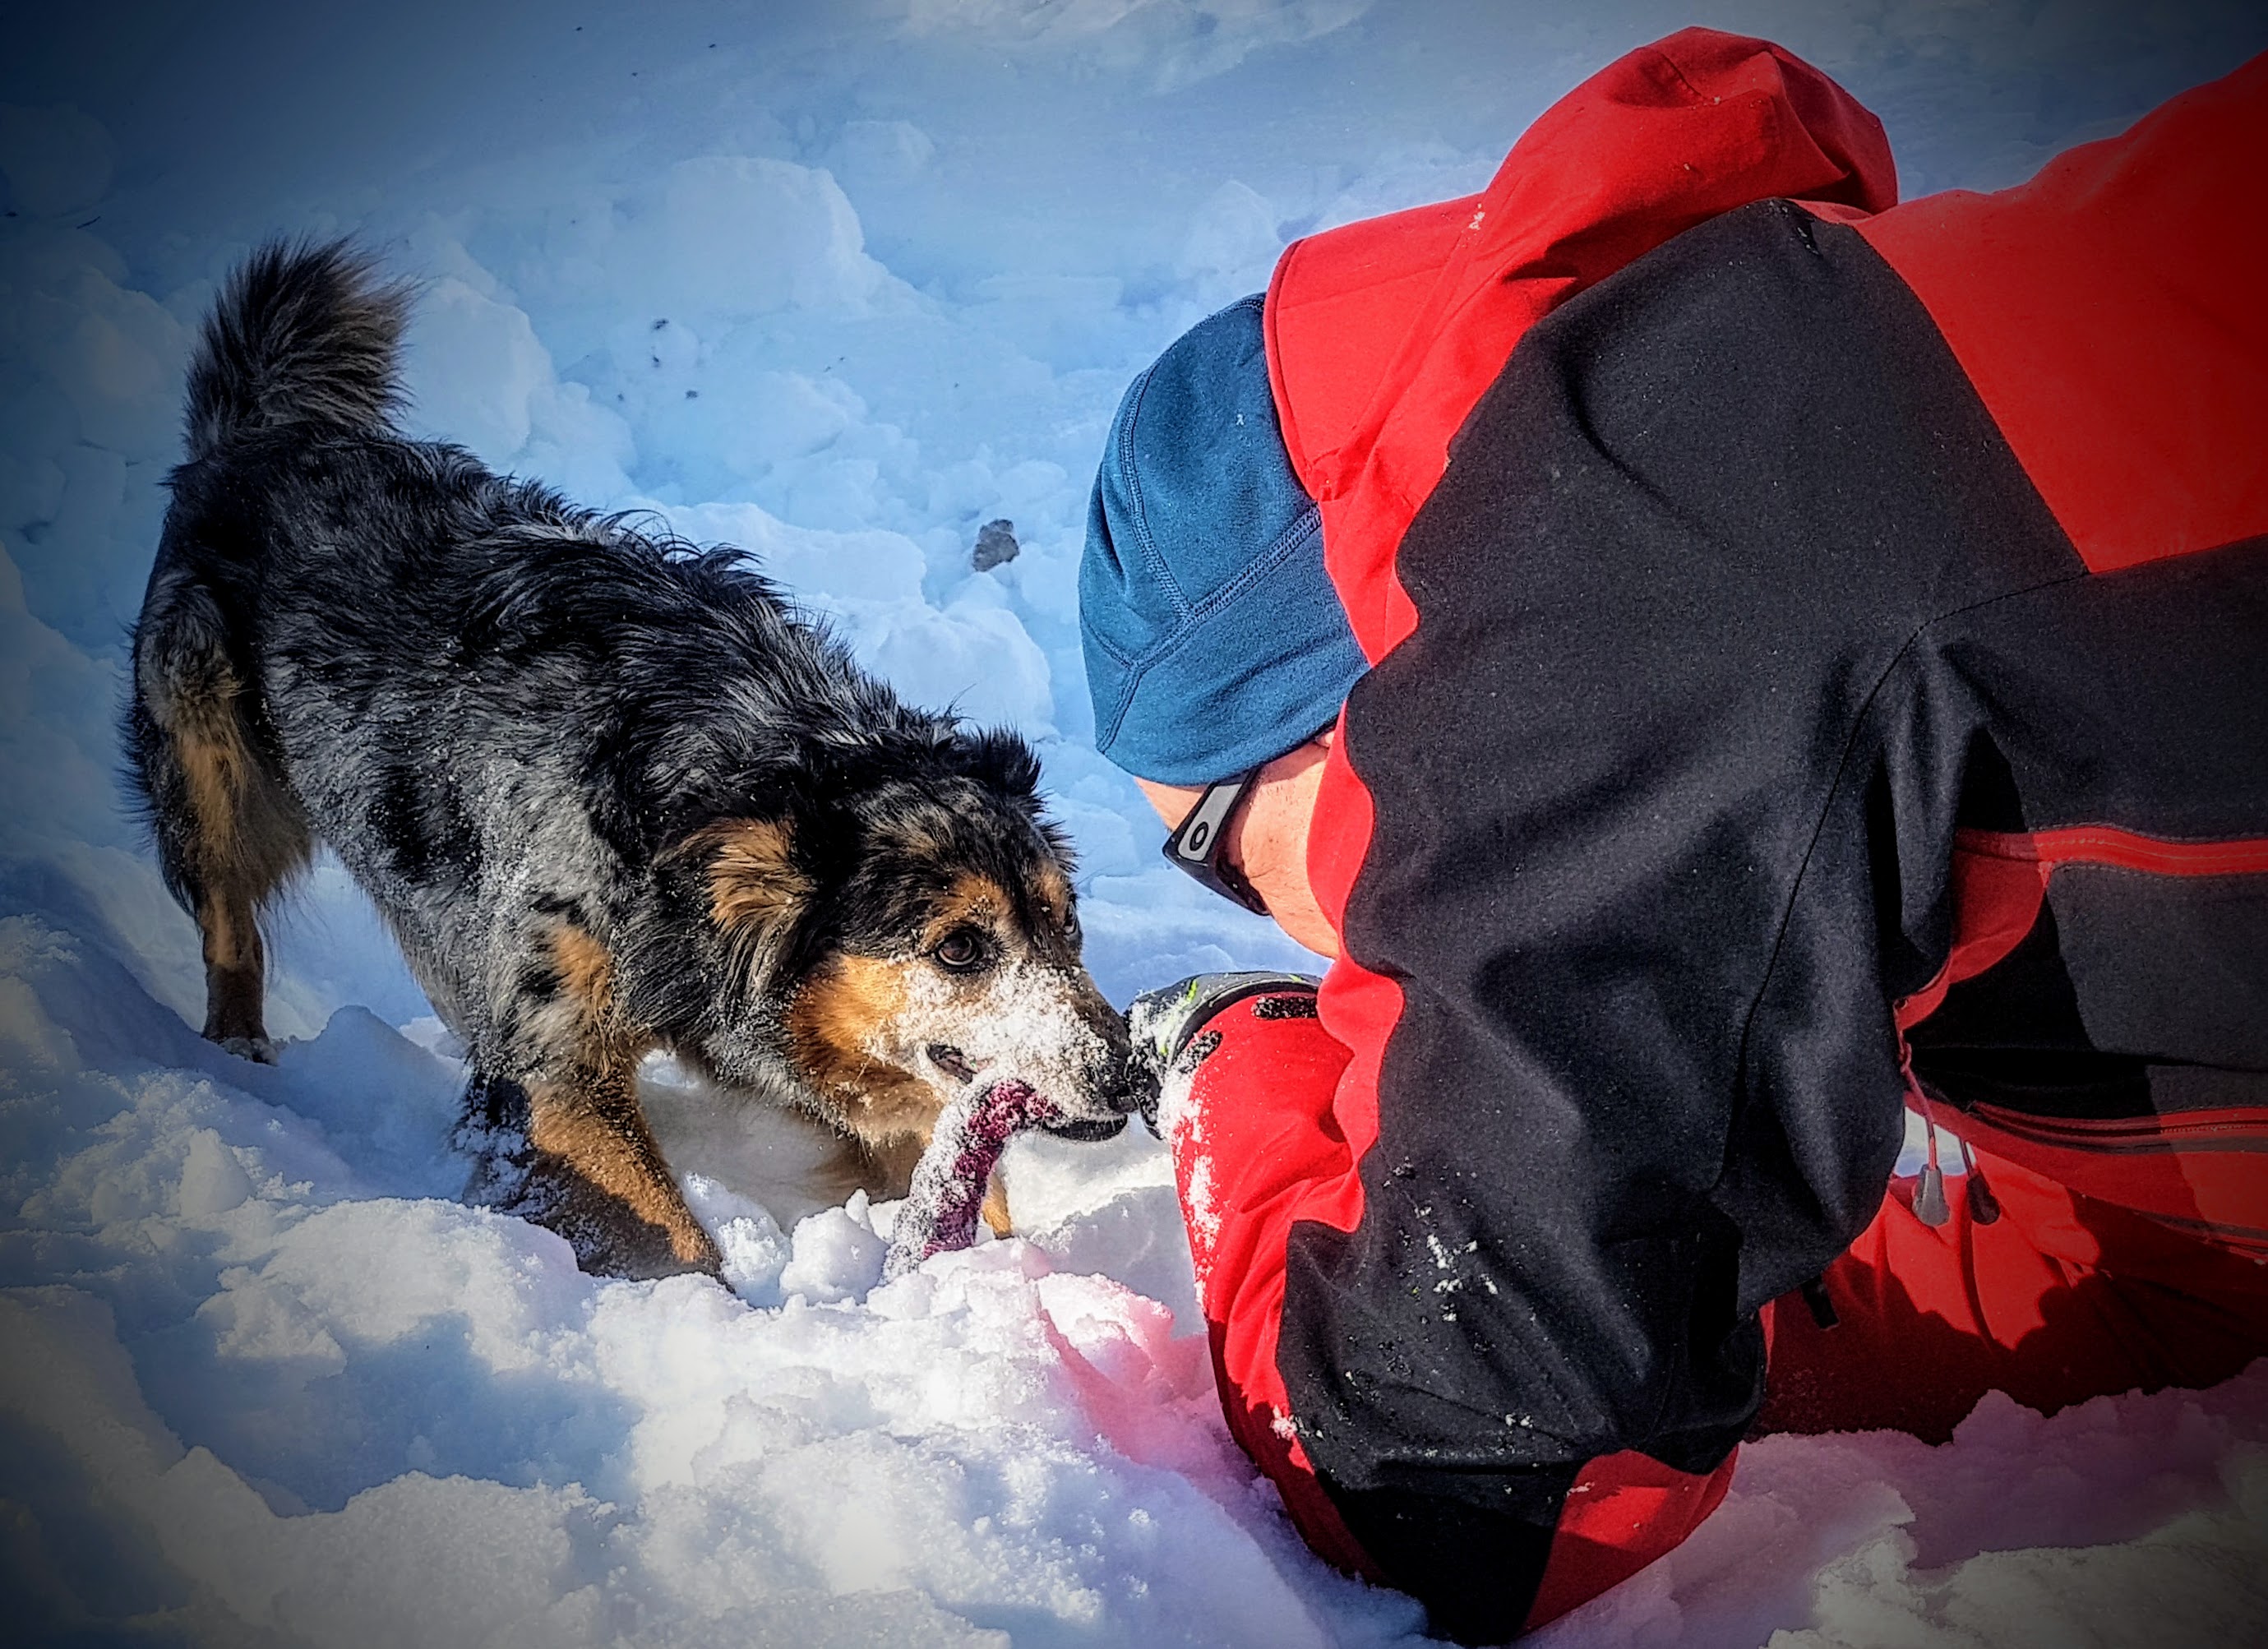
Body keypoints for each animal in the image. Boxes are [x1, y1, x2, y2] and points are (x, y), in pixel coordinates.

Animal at [124, 241, 1152, 1279]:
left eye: (1067, 924)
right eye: (959, 946)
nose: (1135, 1074)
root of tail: (268, 432)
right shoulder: (551, 1056)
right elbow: (664, 1229)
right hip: (210, 764)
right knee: (230, 923)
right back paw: (239, 1052)